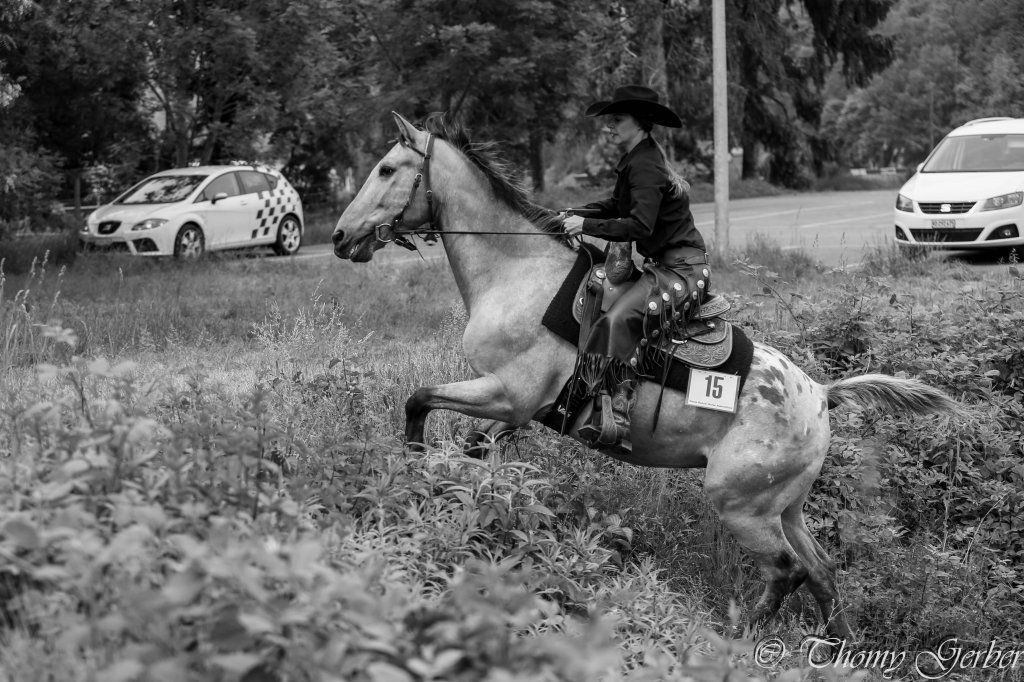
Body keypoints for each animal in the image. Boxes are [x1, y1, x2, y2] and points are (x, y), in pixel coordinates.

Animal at [331, 112, 961, 637]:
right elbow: (470, 447)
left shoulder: (508, 396)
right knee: (822, 570)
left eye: (387, 168)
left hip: (741, 505)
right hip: (786, 506)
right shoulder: (515, 411)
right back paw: (840, 646)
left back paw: (733, 638)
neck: (517, 271)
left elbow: (418, 400)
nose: (339, 237)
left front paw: (414, 471)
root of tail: (822, 395)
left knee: (786, 572)